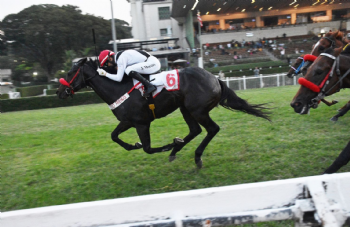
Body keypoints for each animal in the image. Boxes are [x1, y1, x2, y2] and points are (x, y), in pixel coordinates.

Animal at [56, 58, 270, 168]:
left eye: (70, 73)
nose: (60, 92)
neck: (118, 88)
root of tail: (215, 78)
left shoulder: (142, 123)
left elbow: (148, 148)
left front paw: (168, 145)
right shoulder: (128, 121)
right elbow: (114, 136)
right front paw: (134, 145)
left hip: (197, 109)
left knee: (212, 129)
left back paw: (195, 156)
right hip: (186, 108)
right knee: (195, 131)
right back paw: (178, 149)